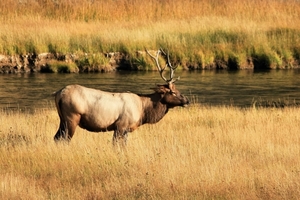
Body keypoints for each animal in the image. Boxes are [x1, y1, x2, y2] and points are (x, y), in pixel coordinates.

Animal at [52, 48, 189, 145]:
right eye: (173, 92)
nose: (187, 100)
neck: (143, 111)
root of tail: (58, 94)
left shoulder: (126, 129)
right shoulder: (121, 126)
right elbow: (117, 145)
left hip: (62, 119)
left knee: (56, 138)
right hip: (72, 117)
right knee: (64, 139)